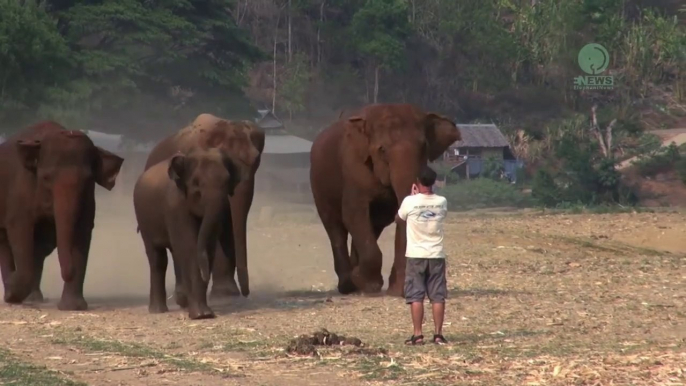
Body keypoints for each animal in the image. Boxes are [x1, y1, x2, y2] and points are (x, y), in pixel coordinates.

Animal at [0, 120, 125, 310]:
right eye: (46, 178)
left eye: (88, 179)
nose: (67, 273)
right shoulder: (20, 191)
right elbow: (19, 230)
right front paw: (12, 289)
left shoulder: (88, 198)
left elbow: (82, 232)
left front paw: (73, 307)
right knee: (6, 244)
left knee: (40, 249)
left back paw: (32, 298)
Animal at [132, 149, 239, 320]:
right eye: (196, 185)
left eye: (228, 182)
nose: (206, 276)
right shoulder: (175, 206)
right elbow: (189, 246)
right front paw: (200, 315)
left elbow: (205, 246)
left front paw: (204, 313)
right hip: (143, 219)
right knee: (157, 258)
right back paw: (158, 310)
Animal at [310, 102, 462, 296]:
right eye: (382, 150)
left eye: (424, 147)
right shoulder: (353, 169)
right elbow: (353, 214)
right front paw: (368, 284)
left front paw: (396, 290)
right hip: (319, 187)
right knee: (335, 227)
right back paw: (348, 285)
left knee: (373, 226)